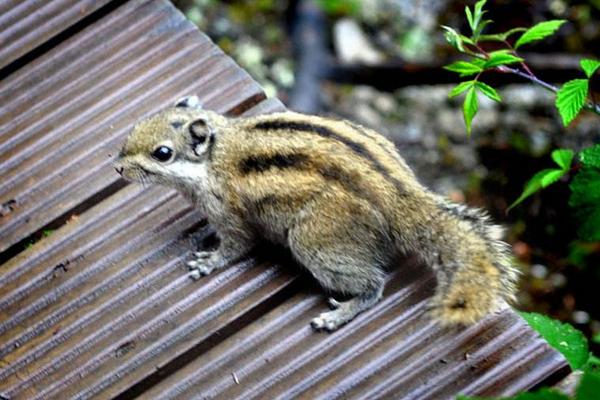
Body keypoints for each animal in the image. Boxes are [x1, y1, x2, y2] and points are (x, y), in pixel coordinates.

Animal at [115, 96, 516, 332]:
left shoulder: (230, 212)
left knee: (375, 285)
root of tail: (401, 197)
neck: (217, 154)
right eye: (137, 125)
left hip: (316, 241)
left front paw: (209, 262)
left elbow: (236, 246)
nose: (117, 167)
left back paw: (340, 314)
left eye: (162, 153)